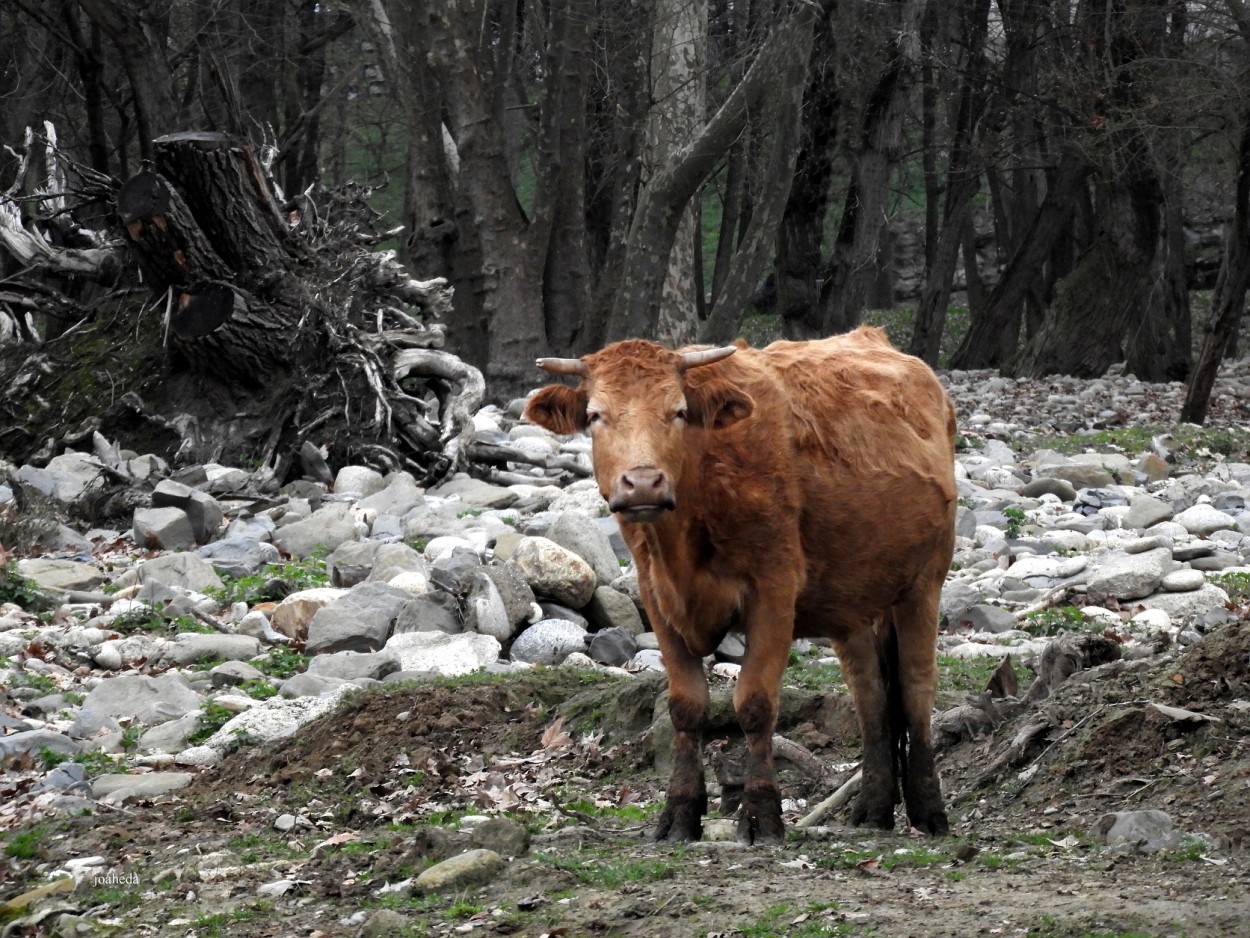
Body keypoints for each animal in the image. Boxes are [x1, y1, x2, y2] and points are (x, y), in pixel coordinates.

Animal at [522, 327, 950, 845]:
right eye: (594, 416)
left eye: (678, 411)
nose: (642, 483)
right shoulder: (656, 598)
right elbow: (686, 706)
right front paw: (680, 812)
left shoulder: (774, 589)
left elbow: (755, 703)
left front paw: (762, 813)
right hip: (852, 601)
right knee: (870, 694)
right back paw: (872, 808)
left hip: (924, 581)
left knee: (915, 685)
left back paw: (929, 809)